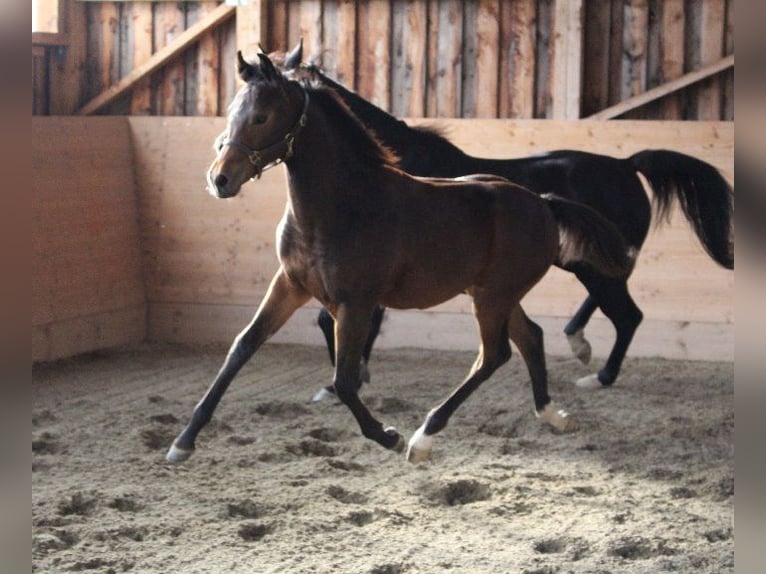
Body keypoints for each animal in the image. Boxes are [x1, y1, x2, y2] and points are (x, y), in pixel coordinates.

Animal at [166, 51, 633, 464]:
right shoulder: (290, 285)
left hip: (493, 297)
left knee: (495, 354)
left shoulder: (356, 302)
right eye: (232, 112)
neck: (341, 206)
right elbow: (242, 347)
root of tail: (544, 202)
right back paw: (553, 415)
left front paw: (387, 435)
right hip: (492, 293)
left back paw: (423, 438)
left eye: (262, 116)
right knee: (530, 337)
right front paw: (183, 441)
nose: (220, 179)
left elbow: (345, 380)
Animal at [276, 40, 734, 394]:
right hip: (590, 260)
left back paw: (598, 375)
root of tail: (625, 165)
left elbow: (341, 320)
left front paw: (348, 380)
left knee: (627, 315)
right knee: (617, 303)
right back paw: (578, 343)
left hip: (592, 265)